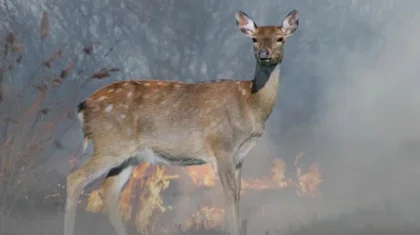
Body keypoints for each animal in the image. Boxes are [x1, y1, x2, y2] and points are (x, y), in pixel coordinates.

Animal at [63, 8, 298, 235]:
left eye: (279, 38)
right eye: (254, 39)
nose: (264, 54)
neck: (251, 103)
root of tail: (83, 106)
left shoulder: (239, 156)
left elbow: (238, 195)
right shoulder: (221, 147)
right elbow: (229, 196)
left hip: (130, 154)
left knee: (109, 190)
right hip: (111, 143)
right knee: (75, 178)